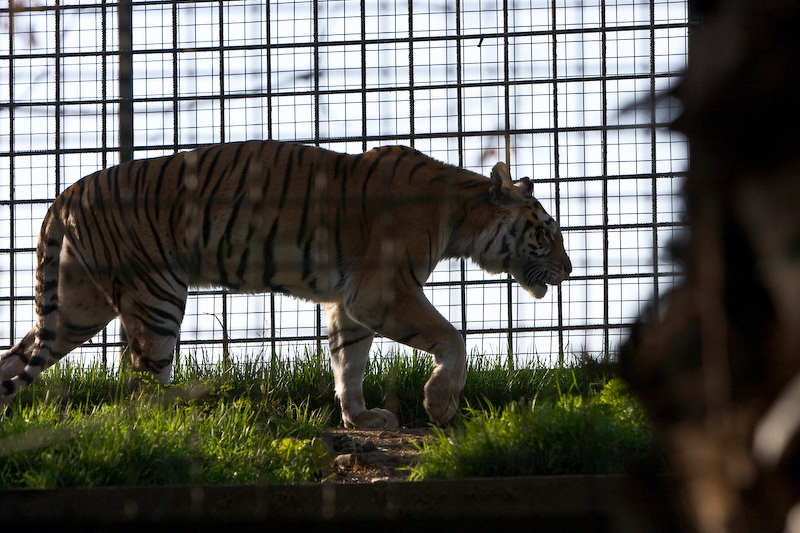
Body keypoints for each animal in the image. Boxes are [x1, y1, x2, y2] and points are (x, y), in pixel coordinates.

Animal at [0, 140, 572, 428]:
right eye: (546, 232)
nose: (568, 270)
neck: (461, 217)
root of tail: (66, 193)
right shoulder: (384, 290)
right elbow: (453, 338)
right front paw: (439, 404)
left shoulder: (350, 301)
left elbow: (349, 360)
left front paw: (359, 417)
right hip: (155, 295)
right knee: (143, 384)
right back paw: (178, 432)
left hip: (77, 308)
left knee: (16, 358)